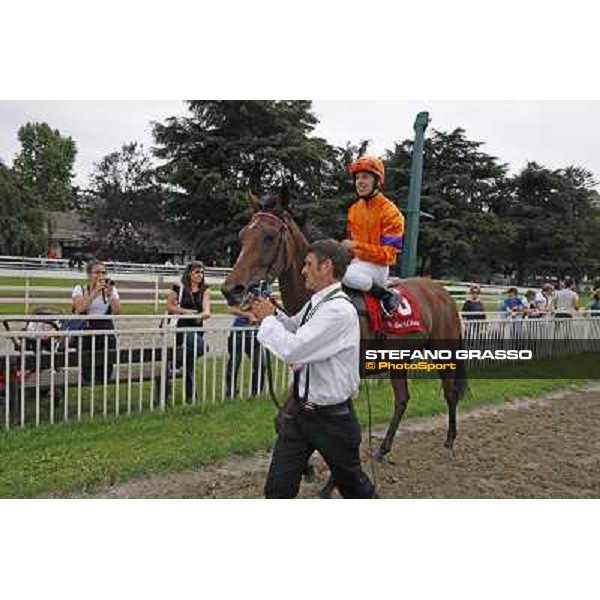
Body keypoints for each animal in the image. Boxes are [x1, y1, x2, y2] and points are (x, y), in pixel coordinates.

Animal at [221, 190, 468, 494]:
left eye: (268, 237)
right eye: (243, 235)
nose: (231, 289)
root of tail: (441, 291)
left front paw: (330, 483)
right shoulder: (304, 369)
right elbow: (282, 419)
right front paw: (308, 468)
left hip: (444, 352)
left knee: (450, 393)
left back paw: (449, 442)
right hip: (399, 360)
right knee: (402, 399)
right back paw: (383, 449)